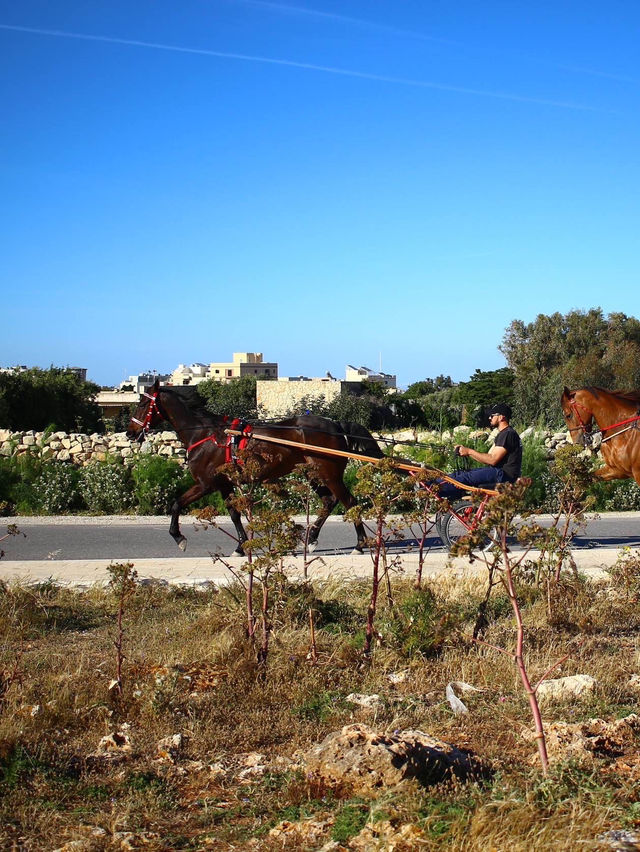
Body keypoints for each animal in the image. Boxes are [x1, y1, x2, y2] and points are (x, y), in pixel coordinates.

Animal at [127, 382, 382, 556]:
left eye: (143, 404)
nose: (130, 432)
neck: (205, 434)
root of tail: (336, 425)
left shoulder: (205, 484)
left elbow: (176, 503)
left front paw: (179, 537)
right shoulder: (224, 484)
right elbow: (234, 514)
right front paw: (240, 546)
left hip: (328, 474)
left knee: (350, 502)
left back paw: (360, 544)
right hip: (314, 474)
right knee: (329, 502)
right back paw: (311, 539)